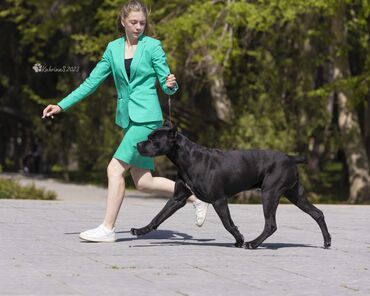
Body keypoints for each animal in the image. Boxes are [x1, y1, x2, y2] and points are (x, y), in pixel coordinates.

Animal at [131, 123, 332, 249]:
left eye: (153, 139)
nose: (137, 144)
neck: (186, 158)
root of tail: (290, 158)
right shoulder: (177, 199)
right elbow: (158, 217)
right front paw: (141, 230)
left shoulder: (219, 200)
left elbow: (227, 223)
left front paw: (240, 239)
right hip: (295, 194)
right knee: (317, 213)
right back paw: (327, 242)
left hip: (269, 193)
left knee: (271, 224)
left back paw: (253, 243)